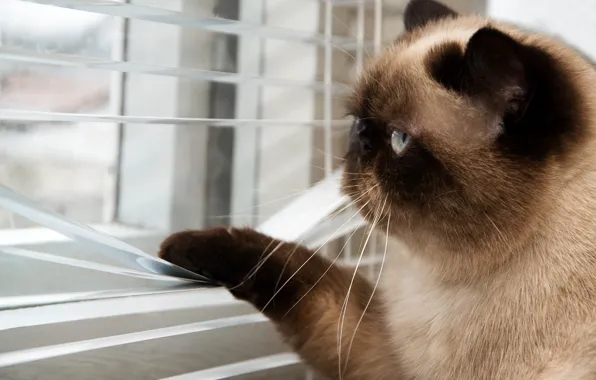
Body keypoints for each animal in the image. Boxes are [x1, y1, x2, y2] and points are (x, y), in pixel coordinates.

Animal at [157, 1, 596, 378]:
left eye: (399, 139)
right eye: (357, 123)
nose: (357, 147)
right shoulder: (383, 354)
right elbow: (299, 271)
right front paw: (184, 248)